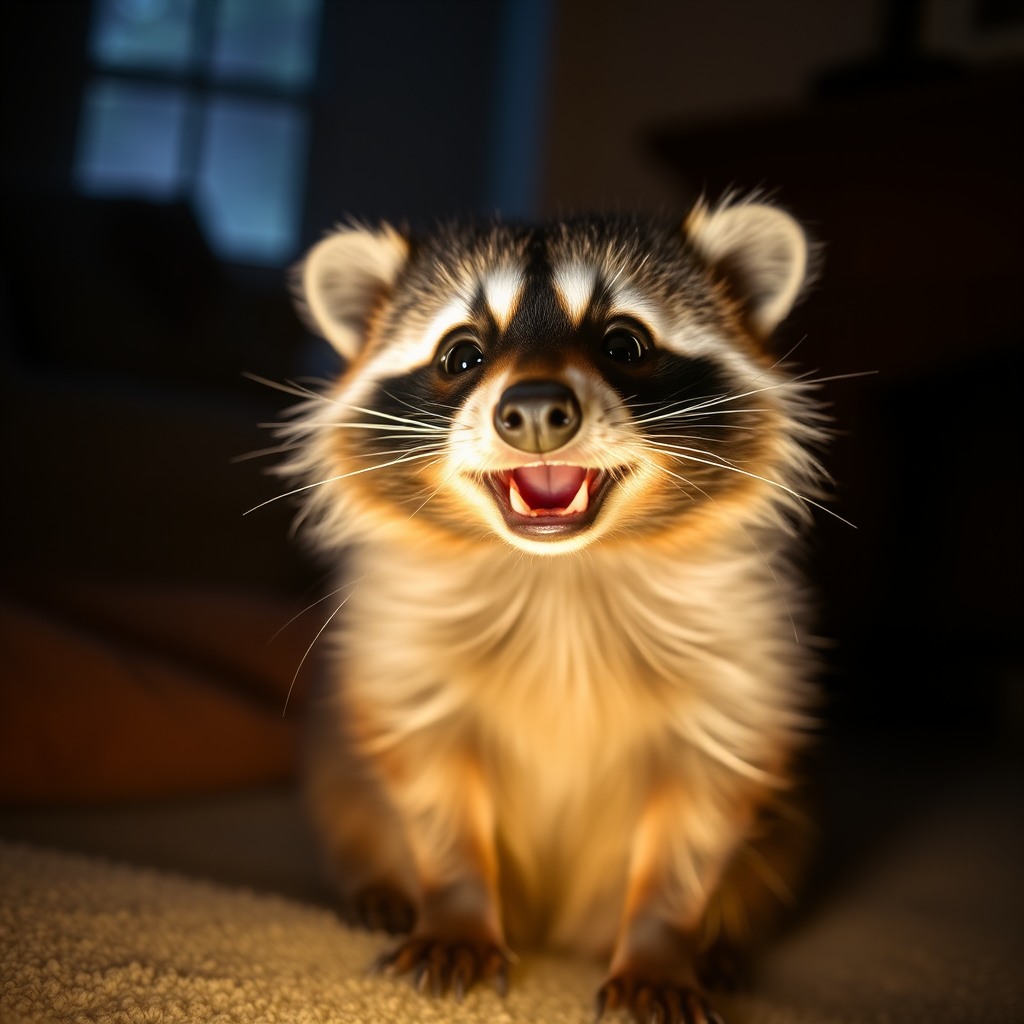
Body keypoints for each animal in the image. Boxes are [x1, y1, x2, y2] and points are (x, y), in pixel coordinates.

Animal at [279, 199, 828, 1023]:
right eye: (462, 355)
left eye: (624, 342)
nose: (535, 411)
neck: (559, 571)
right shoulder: (404, 663)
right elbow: (435, 790)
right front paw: (457, 912)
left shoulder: (740, 677)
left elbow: (696, 818)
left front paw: (662, 947)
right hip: (336, 773)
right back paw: (380, 887)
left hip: (789, 827)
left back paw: (724, 942)